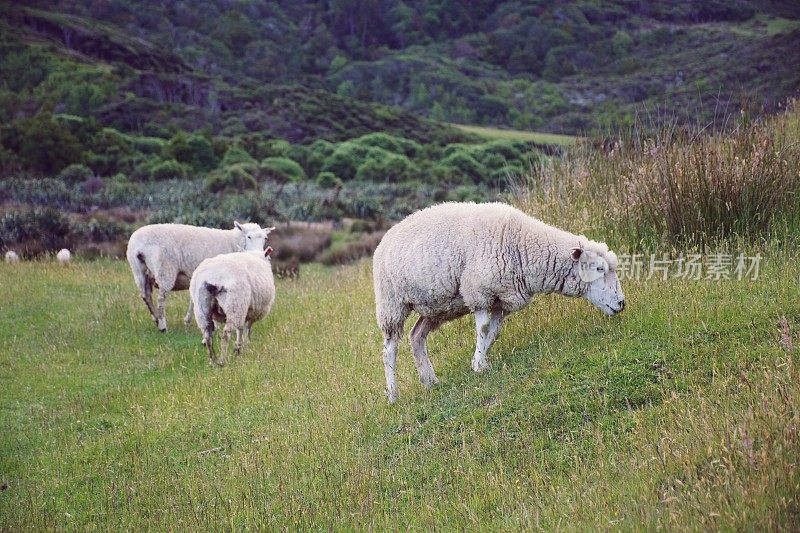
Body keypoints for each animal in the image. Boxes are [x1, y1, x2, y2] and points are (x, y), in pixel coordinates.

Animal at [125, 219, 274, 330]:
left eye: (265, 238)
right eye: (248, 236)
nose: (259, 254)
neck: (232, 243)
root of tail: (139, 246)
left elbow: (193, 299)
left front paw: (188, 320)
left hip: (139, 271)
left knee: (145, 295)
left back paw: (155, 318)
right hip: (164, 269)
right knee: (160, 298)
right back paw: (162, 325)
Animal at [372, 202, 628, 402]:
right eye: (599, 269)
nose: (621, 303)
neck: (521, 245)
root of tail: (386, 236)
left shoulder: (501, 300)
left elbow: (493, 333)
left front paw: (481, 361)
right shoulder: (479, 293)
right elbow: (484, 328)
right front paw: (478, 365)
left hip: (436, 307)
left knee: (416, 336)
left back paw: (429, 380)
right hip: (391, 302)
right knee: (389, 349)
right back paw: (393, 394)